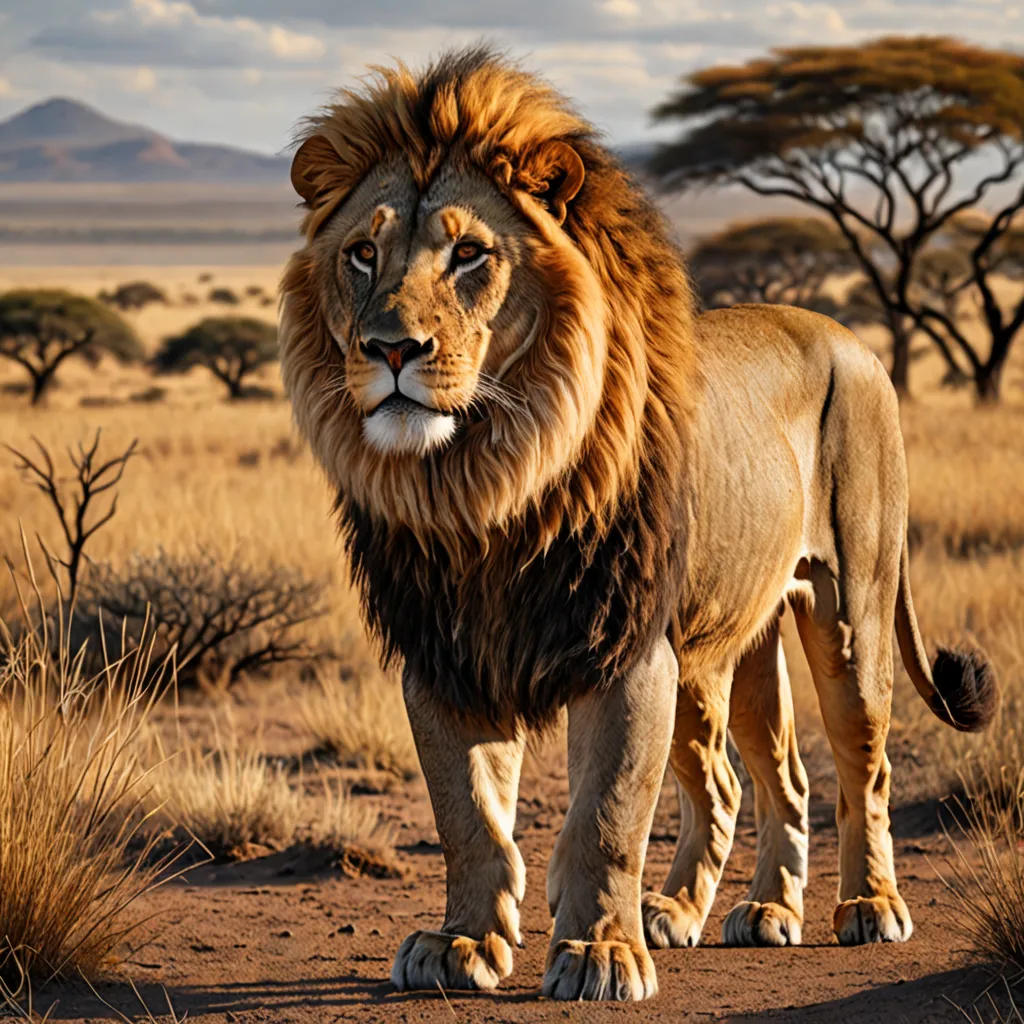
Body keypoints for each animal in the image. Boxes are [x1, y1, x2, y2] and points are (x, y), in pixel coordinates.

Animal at [279, 48, 997, 1002]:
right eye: (362, 254)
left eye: (469, 255)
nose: (392, 349)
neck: (482, 484)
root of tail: (852, 337)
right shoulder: (444, 652)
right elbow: (468, 814)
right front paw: (463, 942)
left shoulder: (621, 645)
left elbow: (607, 813)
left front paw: (599, 953)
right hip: (721, 643)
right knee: (759, 779)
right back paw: (735, 911)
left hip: (848, 611)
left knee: (860, 763)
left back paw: (867, 907)